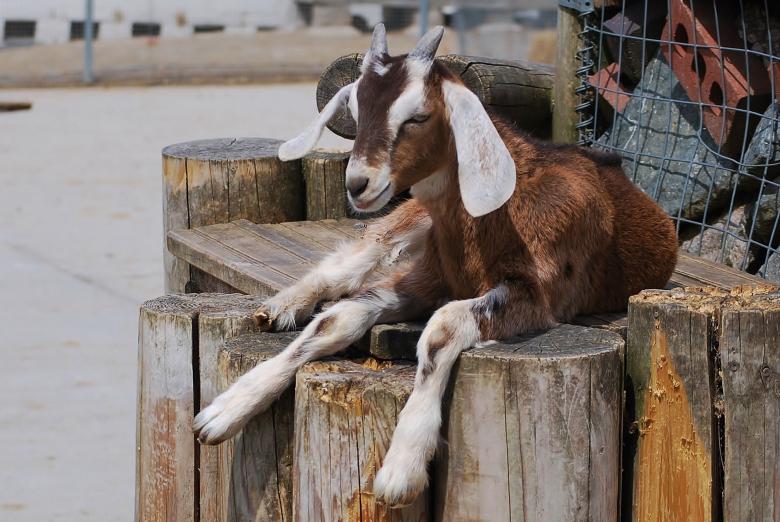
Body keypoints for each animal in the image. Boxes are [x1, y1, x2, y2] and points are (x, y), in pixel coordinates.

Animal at [193, 24, 678, 507]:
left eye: (418, 117)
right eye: (356, 110)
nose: (358, 183)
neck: (498, 213)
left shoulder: (538, 294)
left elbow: (440, 328)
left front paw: (401, 468)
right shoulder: (425, 278)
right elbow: (336, 319)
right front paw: (223, 411)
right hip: (407, 219)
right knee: (355, 257)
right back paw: (281, 306)